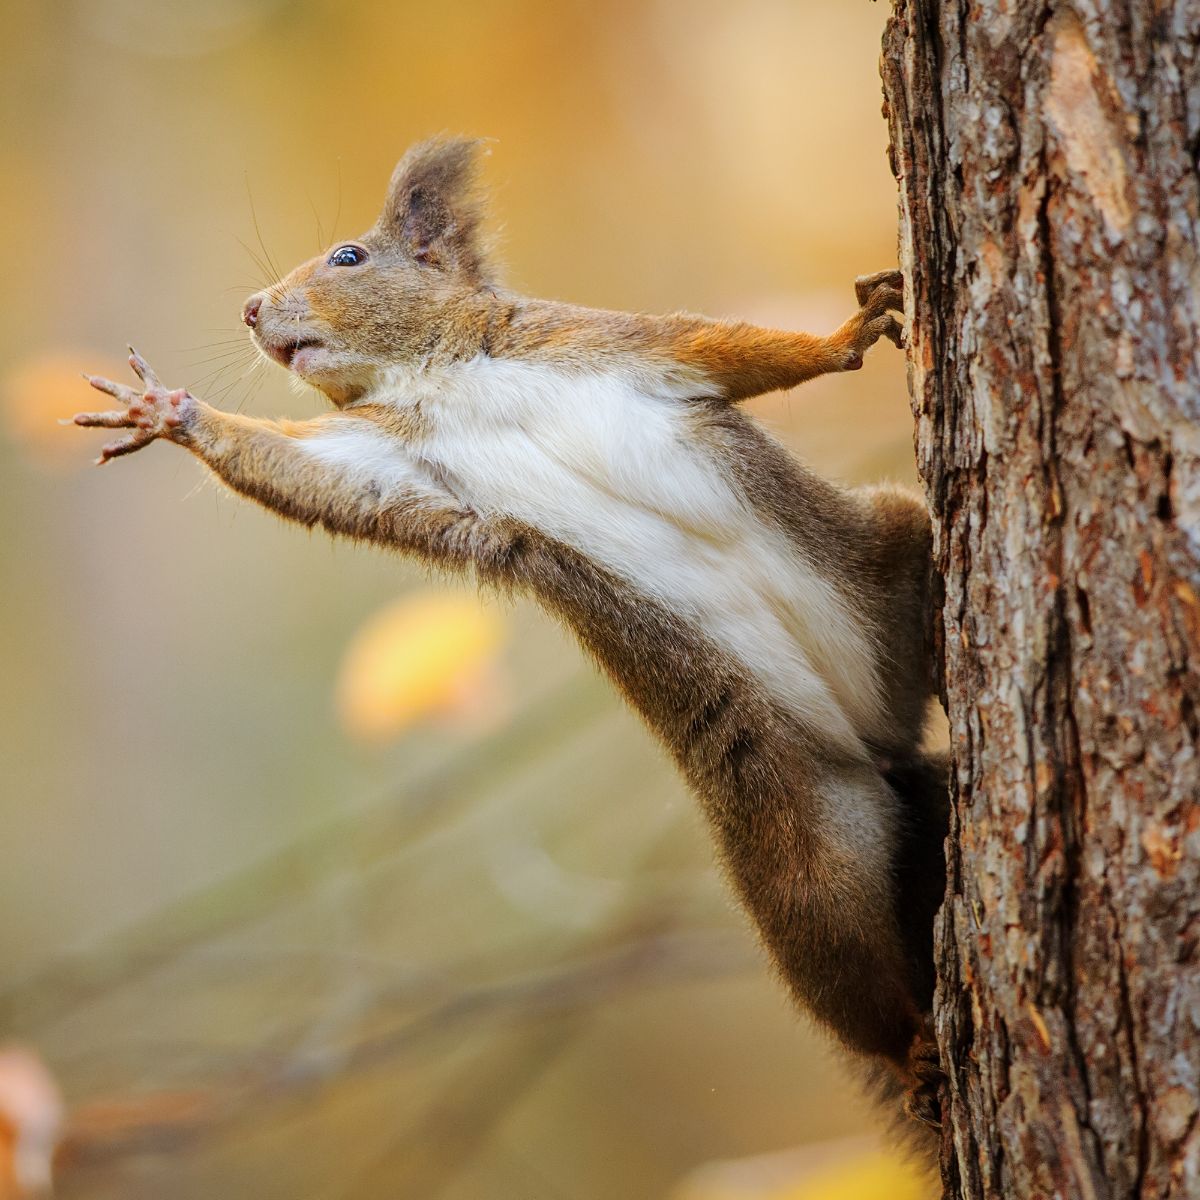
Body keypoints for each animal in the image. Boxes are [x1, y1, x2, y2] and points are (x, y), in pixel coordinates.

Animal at [72, 138, 945, 1123]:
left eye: (348, 256)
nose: (252, 308)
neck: (440, 375)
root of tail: (880, 744)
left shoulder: (598, 343)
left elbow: (725, 349)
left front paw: (846, 335)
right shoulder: (384, 457)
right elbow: (297, 470)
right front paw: (170, 414)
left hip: (886, 550)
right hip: (800, 853)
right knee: (845, 970)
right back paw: (910, 1049)